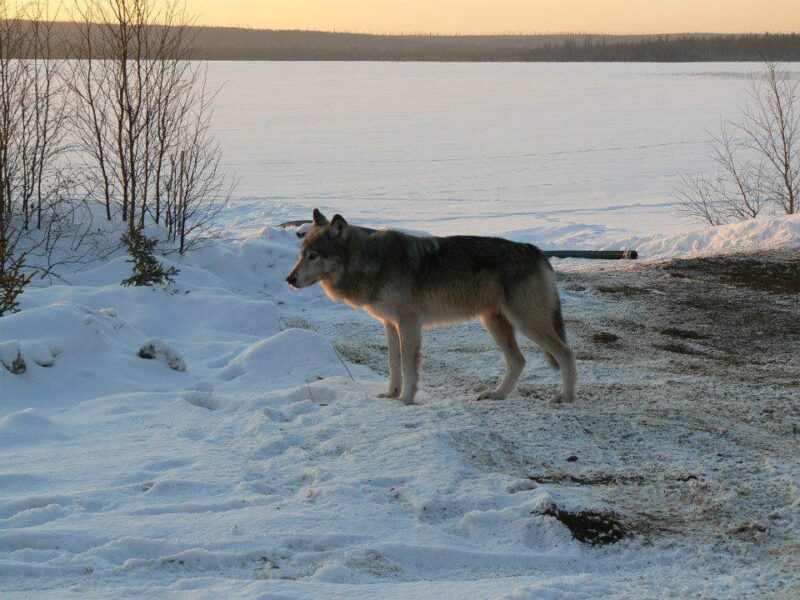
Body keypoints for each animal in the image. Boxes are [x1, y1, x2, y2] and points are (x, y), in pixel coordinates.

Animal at [286, 209, 576, 406]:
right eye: (301, 254)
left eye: (313, 256)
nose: (289, 279)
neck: (372, 262)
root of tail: (535, 250)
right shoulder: (390, 324)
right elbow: (393, 364)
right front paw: (390, 395)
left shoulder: (409, 323)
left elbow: (408, 366)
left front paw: (405, 399)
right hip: (494, 322)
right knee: (518, 361)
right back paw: (497, 394)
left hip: (527, 323)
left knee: (566, 354)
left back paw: (566, 397)